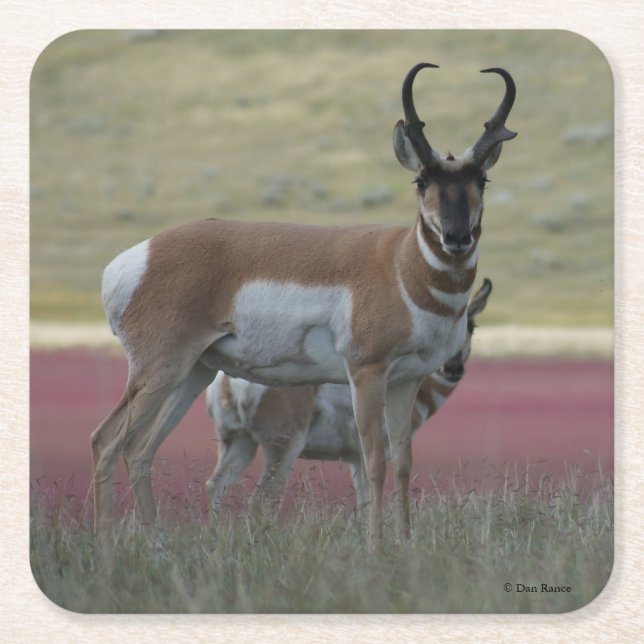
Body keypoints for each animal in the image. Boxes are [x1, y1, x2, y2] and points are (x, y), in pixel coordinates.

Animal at [205, 279, 492, 510]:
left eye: (472, 326)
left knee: (214, 485)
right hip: (283, 445)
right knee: (261, 499)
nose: (453, 368)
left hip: (239, 441)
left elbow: (364, 504)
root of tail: (228, 384)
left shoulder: (355, 459)